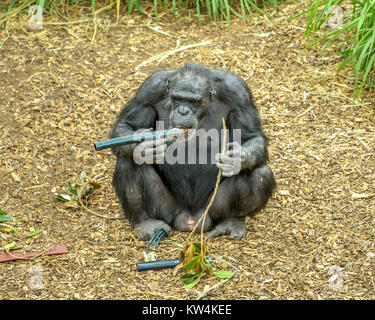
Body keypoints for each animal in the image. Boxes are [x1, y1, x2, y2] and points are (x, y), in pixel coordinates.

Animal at [111, 62, 276, 240]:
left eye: (194, 101)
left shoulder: (239, 94)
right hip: (165, 209)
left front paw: (237, 159)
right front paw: (145, 147)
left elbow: (251, 136)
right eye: (177, 98)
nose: (183, 111)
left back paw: (233, 221)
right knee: (128, 162)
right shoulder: (148, 91)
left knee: (260, 175)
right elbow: (127, 125)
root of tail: (190, 220)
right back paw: (146, 223)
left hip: (214, 210)